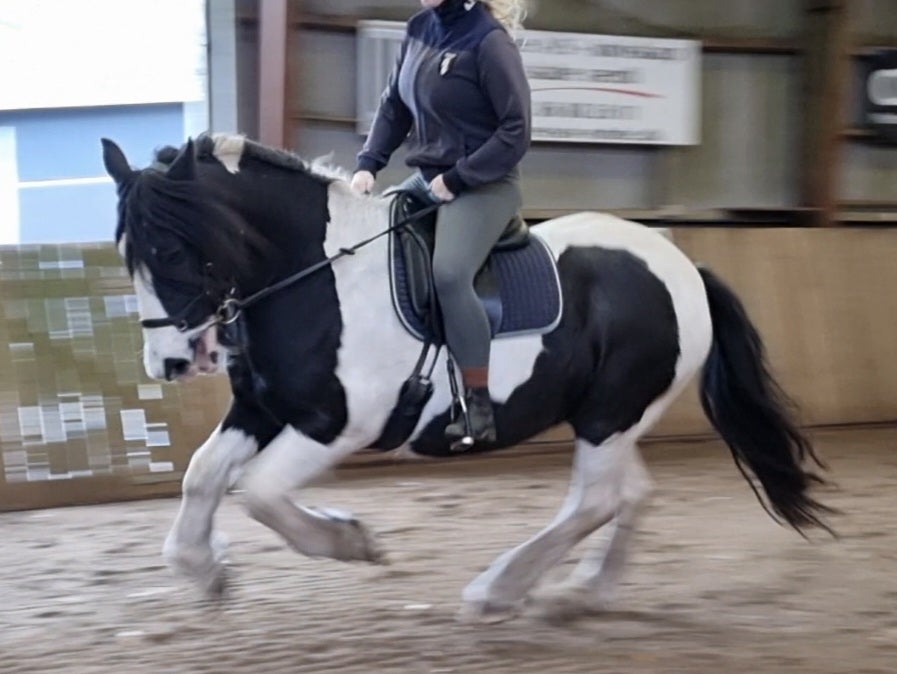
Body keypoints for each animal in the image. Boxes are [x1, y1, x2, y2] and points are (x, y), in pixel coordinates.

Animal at [101, 134, 828, 624]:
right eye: (127, 255)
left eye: (171, 250)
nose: (170, 364)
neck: (317, 275)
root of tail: (684, 267)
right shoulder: (264, 408)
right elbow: (203, 476)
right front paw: (205, 572)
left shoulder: (337, 425)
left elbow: (256, 492)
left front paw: (350, 539)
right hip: (615, 420)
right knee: (630, 495)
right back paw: (582, 592)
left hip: (609, 414)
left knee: (594, 501)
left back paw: (498, 590)